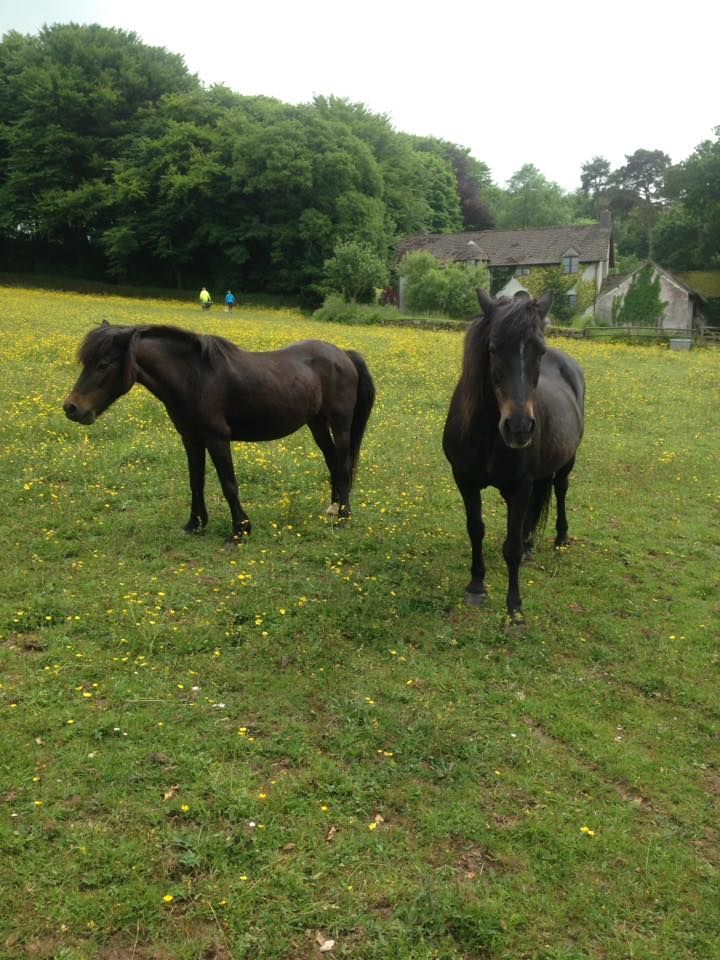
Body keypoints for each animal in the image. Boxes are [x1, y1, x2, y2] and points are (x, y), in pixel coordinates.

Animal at [63, 322, 375, 542]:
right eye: (86, 362)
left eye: (104, 364)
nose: (72, 408)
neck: (195, 377)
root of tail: (343, 355)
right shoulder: (190, 439)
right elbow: (196, 481)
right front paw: (194, 524)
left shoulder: (217, 438)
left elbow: (228, 484)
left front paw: (240, 530)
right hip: (317, 423)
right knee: (333, 462)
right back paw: (333, 508)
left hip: (340, 424)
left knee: (344, 465)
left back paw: (344, 517)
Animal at [442, 290, 585, 622]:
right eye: (493, 349)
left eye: (540, 350)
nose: (519, 427)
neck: (486, 434)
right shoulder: (464, 481)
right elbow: (476, 529)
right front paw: (476, 586)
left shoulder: (519, 488)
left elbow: (511, 547)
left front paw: (514, 608)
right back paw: (532, 545)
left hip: (567, 461)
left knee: (560, 490)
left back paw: (561, 538)